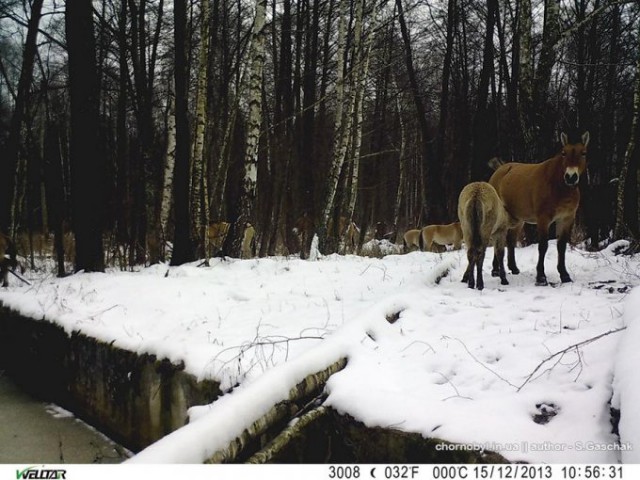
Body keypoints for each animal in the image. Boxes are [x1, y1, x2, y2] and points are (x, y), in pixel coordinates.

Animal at [490, 131, 592, 284]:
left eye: (583, 153)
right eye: (564, 153)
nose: (571, 177)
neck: (557, 186)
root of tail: (499, 170)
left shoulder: (566, 219)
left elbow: (561, 246)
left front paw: (564, 275)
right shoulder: (543, 219)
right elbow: (543, 246)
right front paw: (541, 277)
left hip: (518, 219)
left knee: (510, 240)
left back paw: (513, 268)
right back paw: (495, 270)